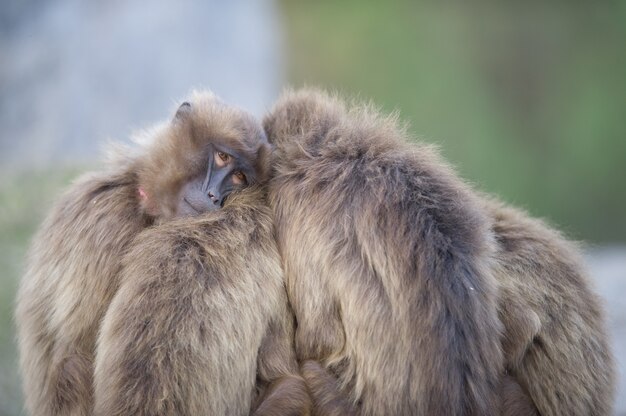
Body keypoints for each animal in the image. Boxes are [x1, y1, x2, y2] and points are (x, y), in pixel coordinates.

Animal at [14, 92, 308, 416]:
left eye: (240, 177)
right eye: (223, 157)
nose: (214, 196)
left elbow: (280, 380)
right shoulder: (108, 222)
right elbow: (73, 354)